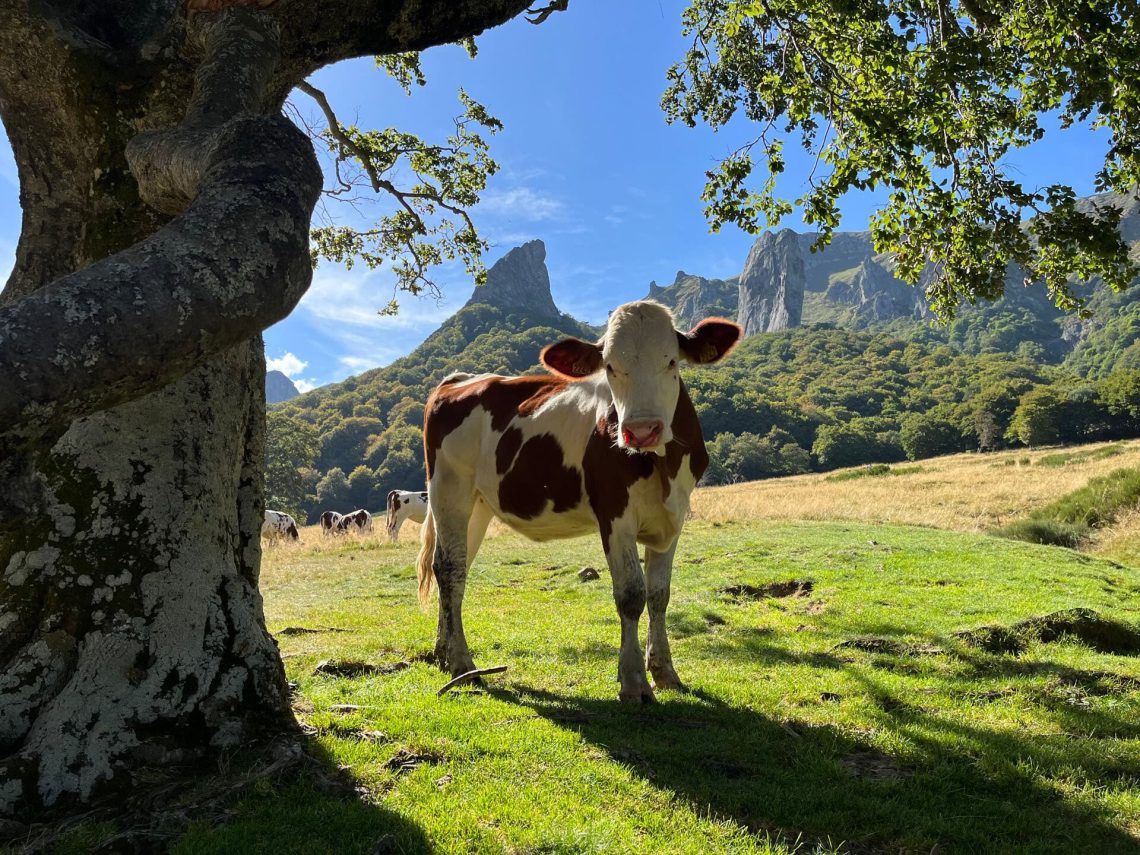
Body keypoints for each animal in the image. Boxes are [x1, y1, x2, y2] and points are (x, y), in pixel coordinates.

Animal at [417, 300, 738, 702]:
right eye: (610, 367)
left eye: (671, 361)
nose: (641, 431)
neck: (660, 464)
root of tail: (461, 378)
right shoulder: (614, 513)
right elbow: (631, 594)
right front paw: (634, 681)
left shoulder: (674, 517)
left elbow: (659, 594)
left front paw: (665, 672)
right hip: (449, 489)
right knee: (451, 570)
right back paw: (462, 665)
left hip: (477, 505)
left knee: (448, 565)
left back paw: (443, 654)